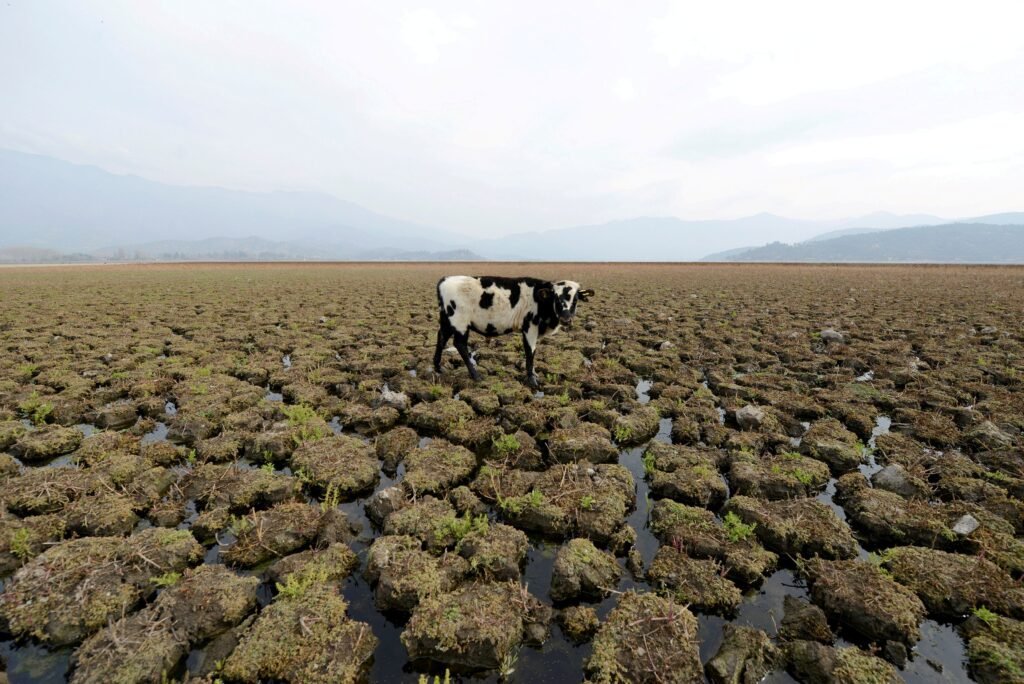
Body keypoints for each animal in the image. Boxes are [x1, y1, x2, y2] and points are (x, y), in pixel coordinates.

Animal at [433, 276, 595, 388]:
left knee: (441, 338)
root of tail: (445, 280)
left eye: (576, 300)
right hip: (460, 322)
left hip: (447, 320)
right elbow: (530, 353)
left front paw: (534, 375)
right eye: (556, 298)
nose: (566, 319)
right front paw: (532, 380)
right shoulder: (530, 327)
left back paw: (438, 367)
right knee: (459, 344)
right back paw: (475, 375)